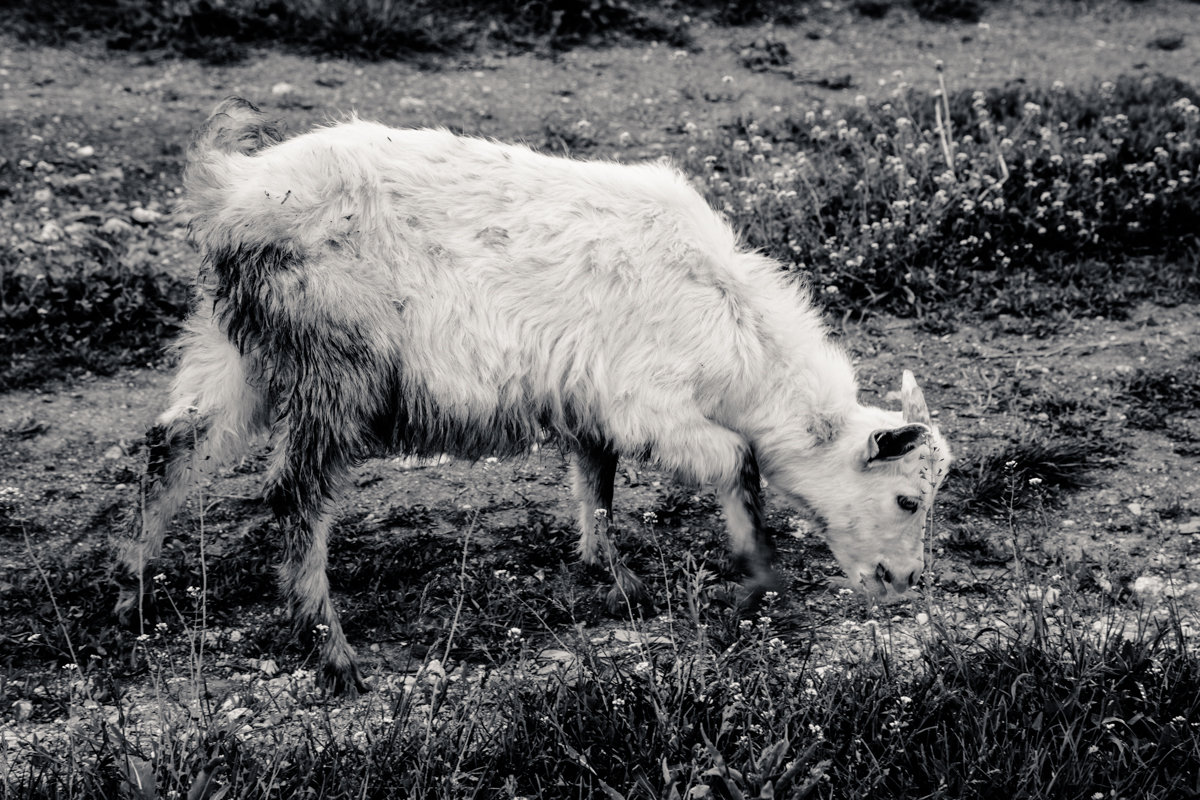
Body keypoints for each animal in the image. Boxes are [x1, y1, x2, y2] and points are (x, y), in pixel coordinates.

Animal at [117, 97, 950, 690]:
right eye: (908, 498)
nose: (905, 582)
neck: (733, 322)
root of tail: (229, 189)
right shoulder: (649, 403)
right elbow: (736, 462)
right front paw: (756, 580)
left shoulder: (591, 404)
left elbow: (597, 482)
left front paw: (612, 574)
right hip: (335, 366)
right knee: (295, 491)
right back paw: (331, 651)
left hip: (233, 348)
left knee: (173, 446)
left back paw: (133, 595)